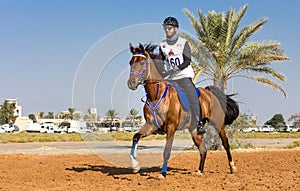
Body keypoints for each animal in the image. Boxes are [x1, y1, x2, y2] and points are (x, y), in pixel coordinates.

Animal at [127, 43, 239, 178]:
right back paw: (199, 171)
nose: (131, 83)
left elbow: (167, 151)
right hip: (194, 130)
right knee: (203, 150)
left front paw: (162, 173)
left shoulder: (171, 127)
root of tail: (209, 92)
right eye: (130, 63)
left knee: (226, 144)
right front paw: (135, 166)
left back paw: (232, 167)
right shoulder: (151, 125)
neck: (157, 95)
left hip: (218, 123)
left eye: (142, 63)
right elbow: (135, 137)